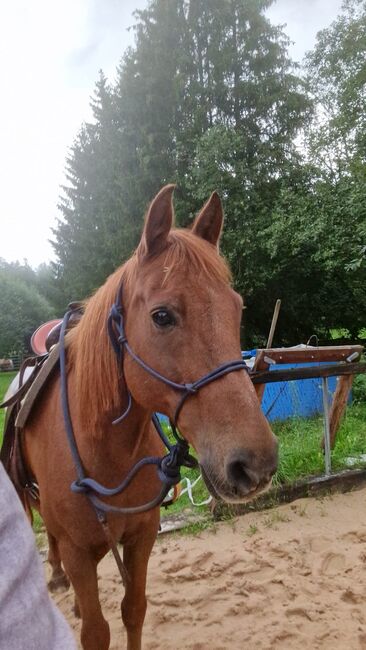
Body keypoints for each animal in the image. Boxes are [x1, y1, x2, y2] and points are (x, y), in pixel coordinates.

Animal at [21, 185, 278, 644]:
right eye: (162, 316)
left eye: (237, 308)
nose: (256, 463)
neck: (106, 451)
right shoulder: (78, 551)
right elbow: (96, 631)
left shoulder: (141, 538)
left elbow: (134, 610)